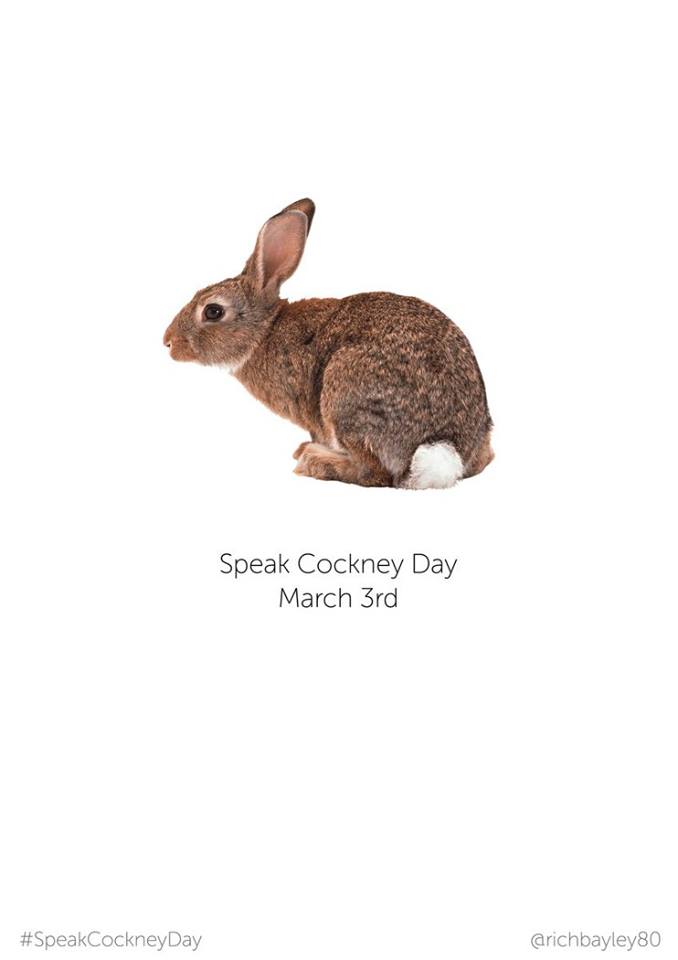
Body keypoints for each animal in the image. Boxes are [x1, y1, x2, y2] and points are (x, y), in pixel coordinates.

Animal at [163, 198, 493, 488]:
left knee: (375, 474)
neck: (265, 331)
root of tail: (444, 447)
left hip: (344, 394)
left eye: (213, 311)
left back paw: (315, 461)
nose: (168, 342)